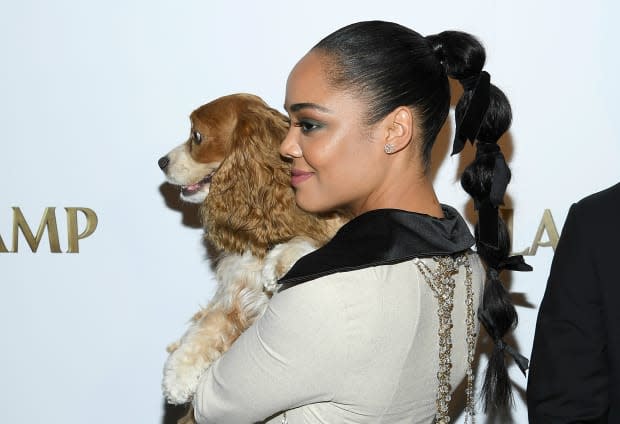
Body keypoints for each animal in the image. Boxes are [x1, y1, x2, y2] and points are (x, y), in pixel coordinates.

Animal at [155, 94, 340, 406]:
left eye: (197, 136)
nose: (161, 161)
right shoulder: (235, 295)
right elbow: (206, 327)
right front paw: (177, 375)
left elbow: (314, 240)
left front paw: (280, 261)